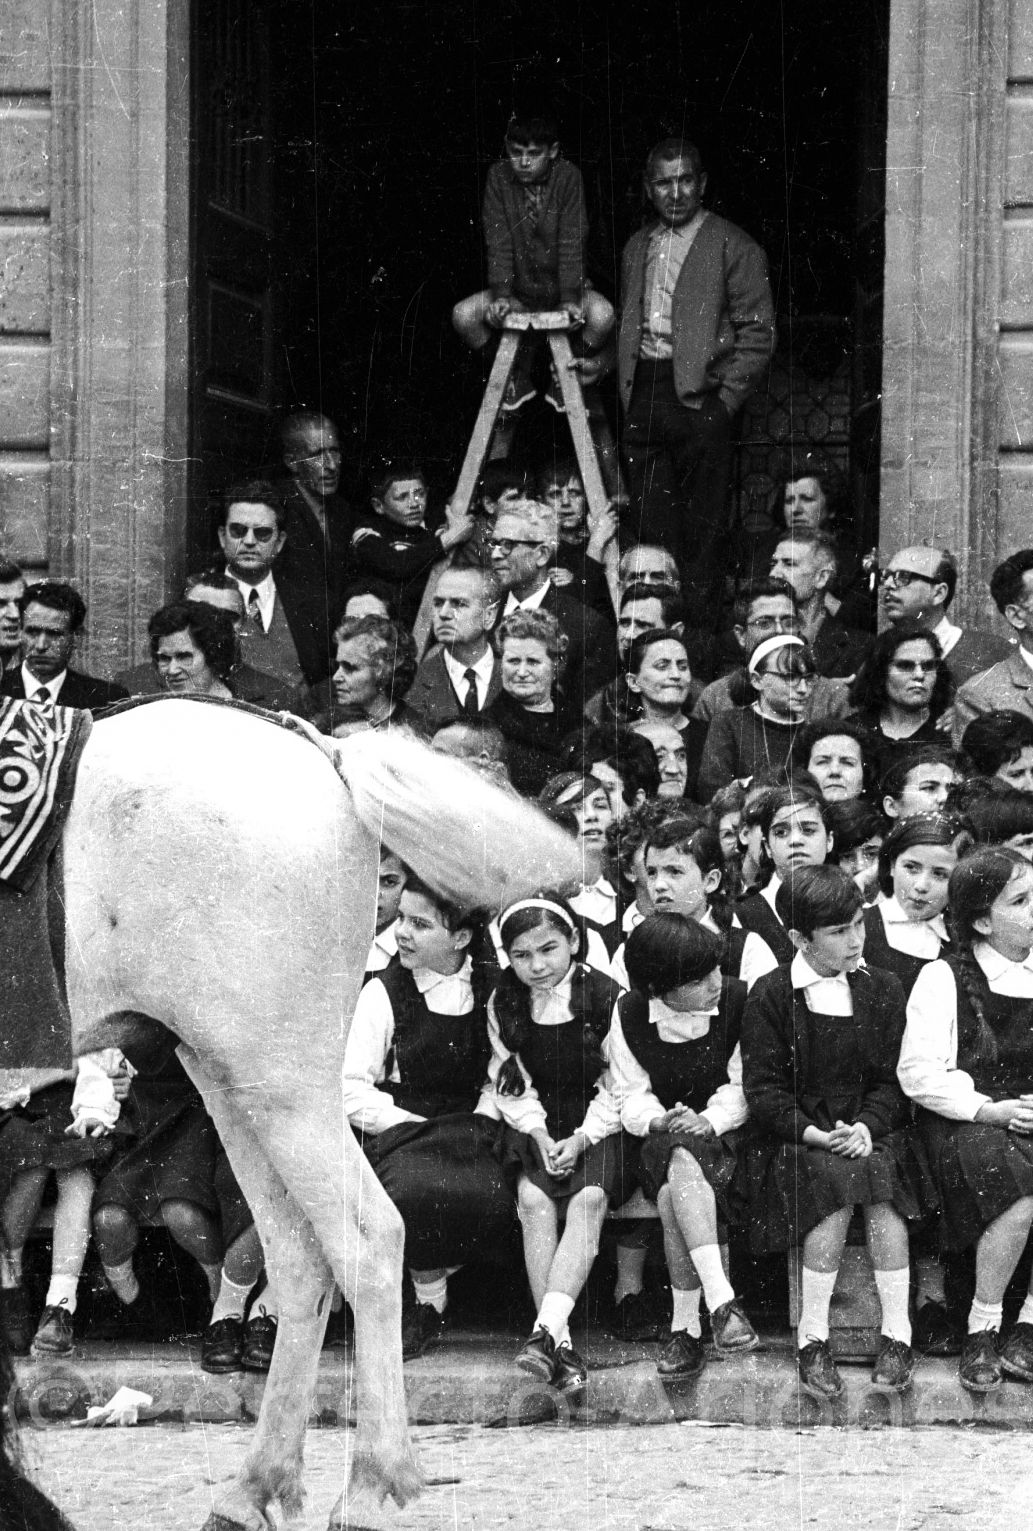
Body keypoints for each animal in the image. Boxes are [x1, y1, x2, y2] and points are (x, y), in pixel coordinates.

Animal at [58, 701, 581, 1524]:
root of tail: (326, 756)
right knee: (301, 1253)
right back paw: (259, 1484)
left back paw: (372, 1482)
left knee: (367, 1238)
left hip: (280, 1079)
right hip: (234, 1078)